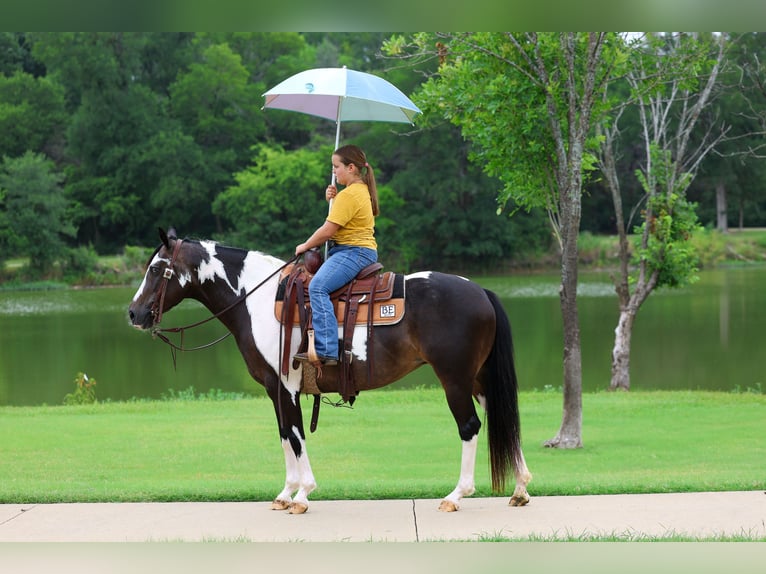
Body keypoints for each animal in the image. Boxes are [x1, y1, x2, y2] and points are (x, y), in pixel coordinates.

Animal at [128, 228, 532, 514]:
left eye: (156, 269)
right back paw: (520, 488)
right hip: (478, 379)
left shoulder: (286, 386)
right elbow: (284, 435)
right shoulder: (274, 389)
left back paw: (457, 495)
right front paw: (285, 493)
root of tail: (480, 291)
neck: (258, 300)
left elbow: (294, 435)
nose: (134, 313)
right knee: (501, 416)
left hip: (455, 379)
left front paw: (302, 495)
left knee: (470, 427)